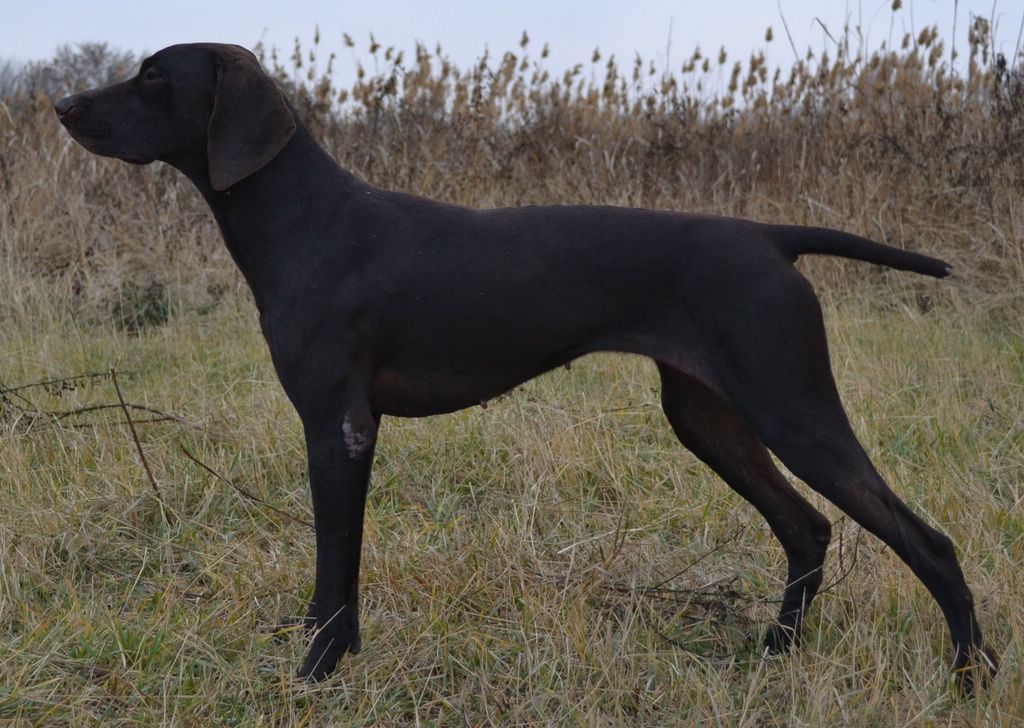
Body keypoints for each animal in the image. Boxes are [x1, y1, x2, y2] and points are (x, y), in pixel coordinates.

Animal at [54, 43, 996, 691]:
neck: (303, 220)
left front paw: (317, 672)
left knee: (927, 541)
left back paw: (970, 674)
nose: (59, 103)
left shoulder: (340, 427)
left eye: (152, 78)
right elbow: (337, 577)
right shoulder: (344, 430)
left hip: (792, 408)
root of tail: (770, 238)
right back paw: (776, 651)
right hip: (709, 417)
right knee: (806, 527)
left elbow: (334, 572)